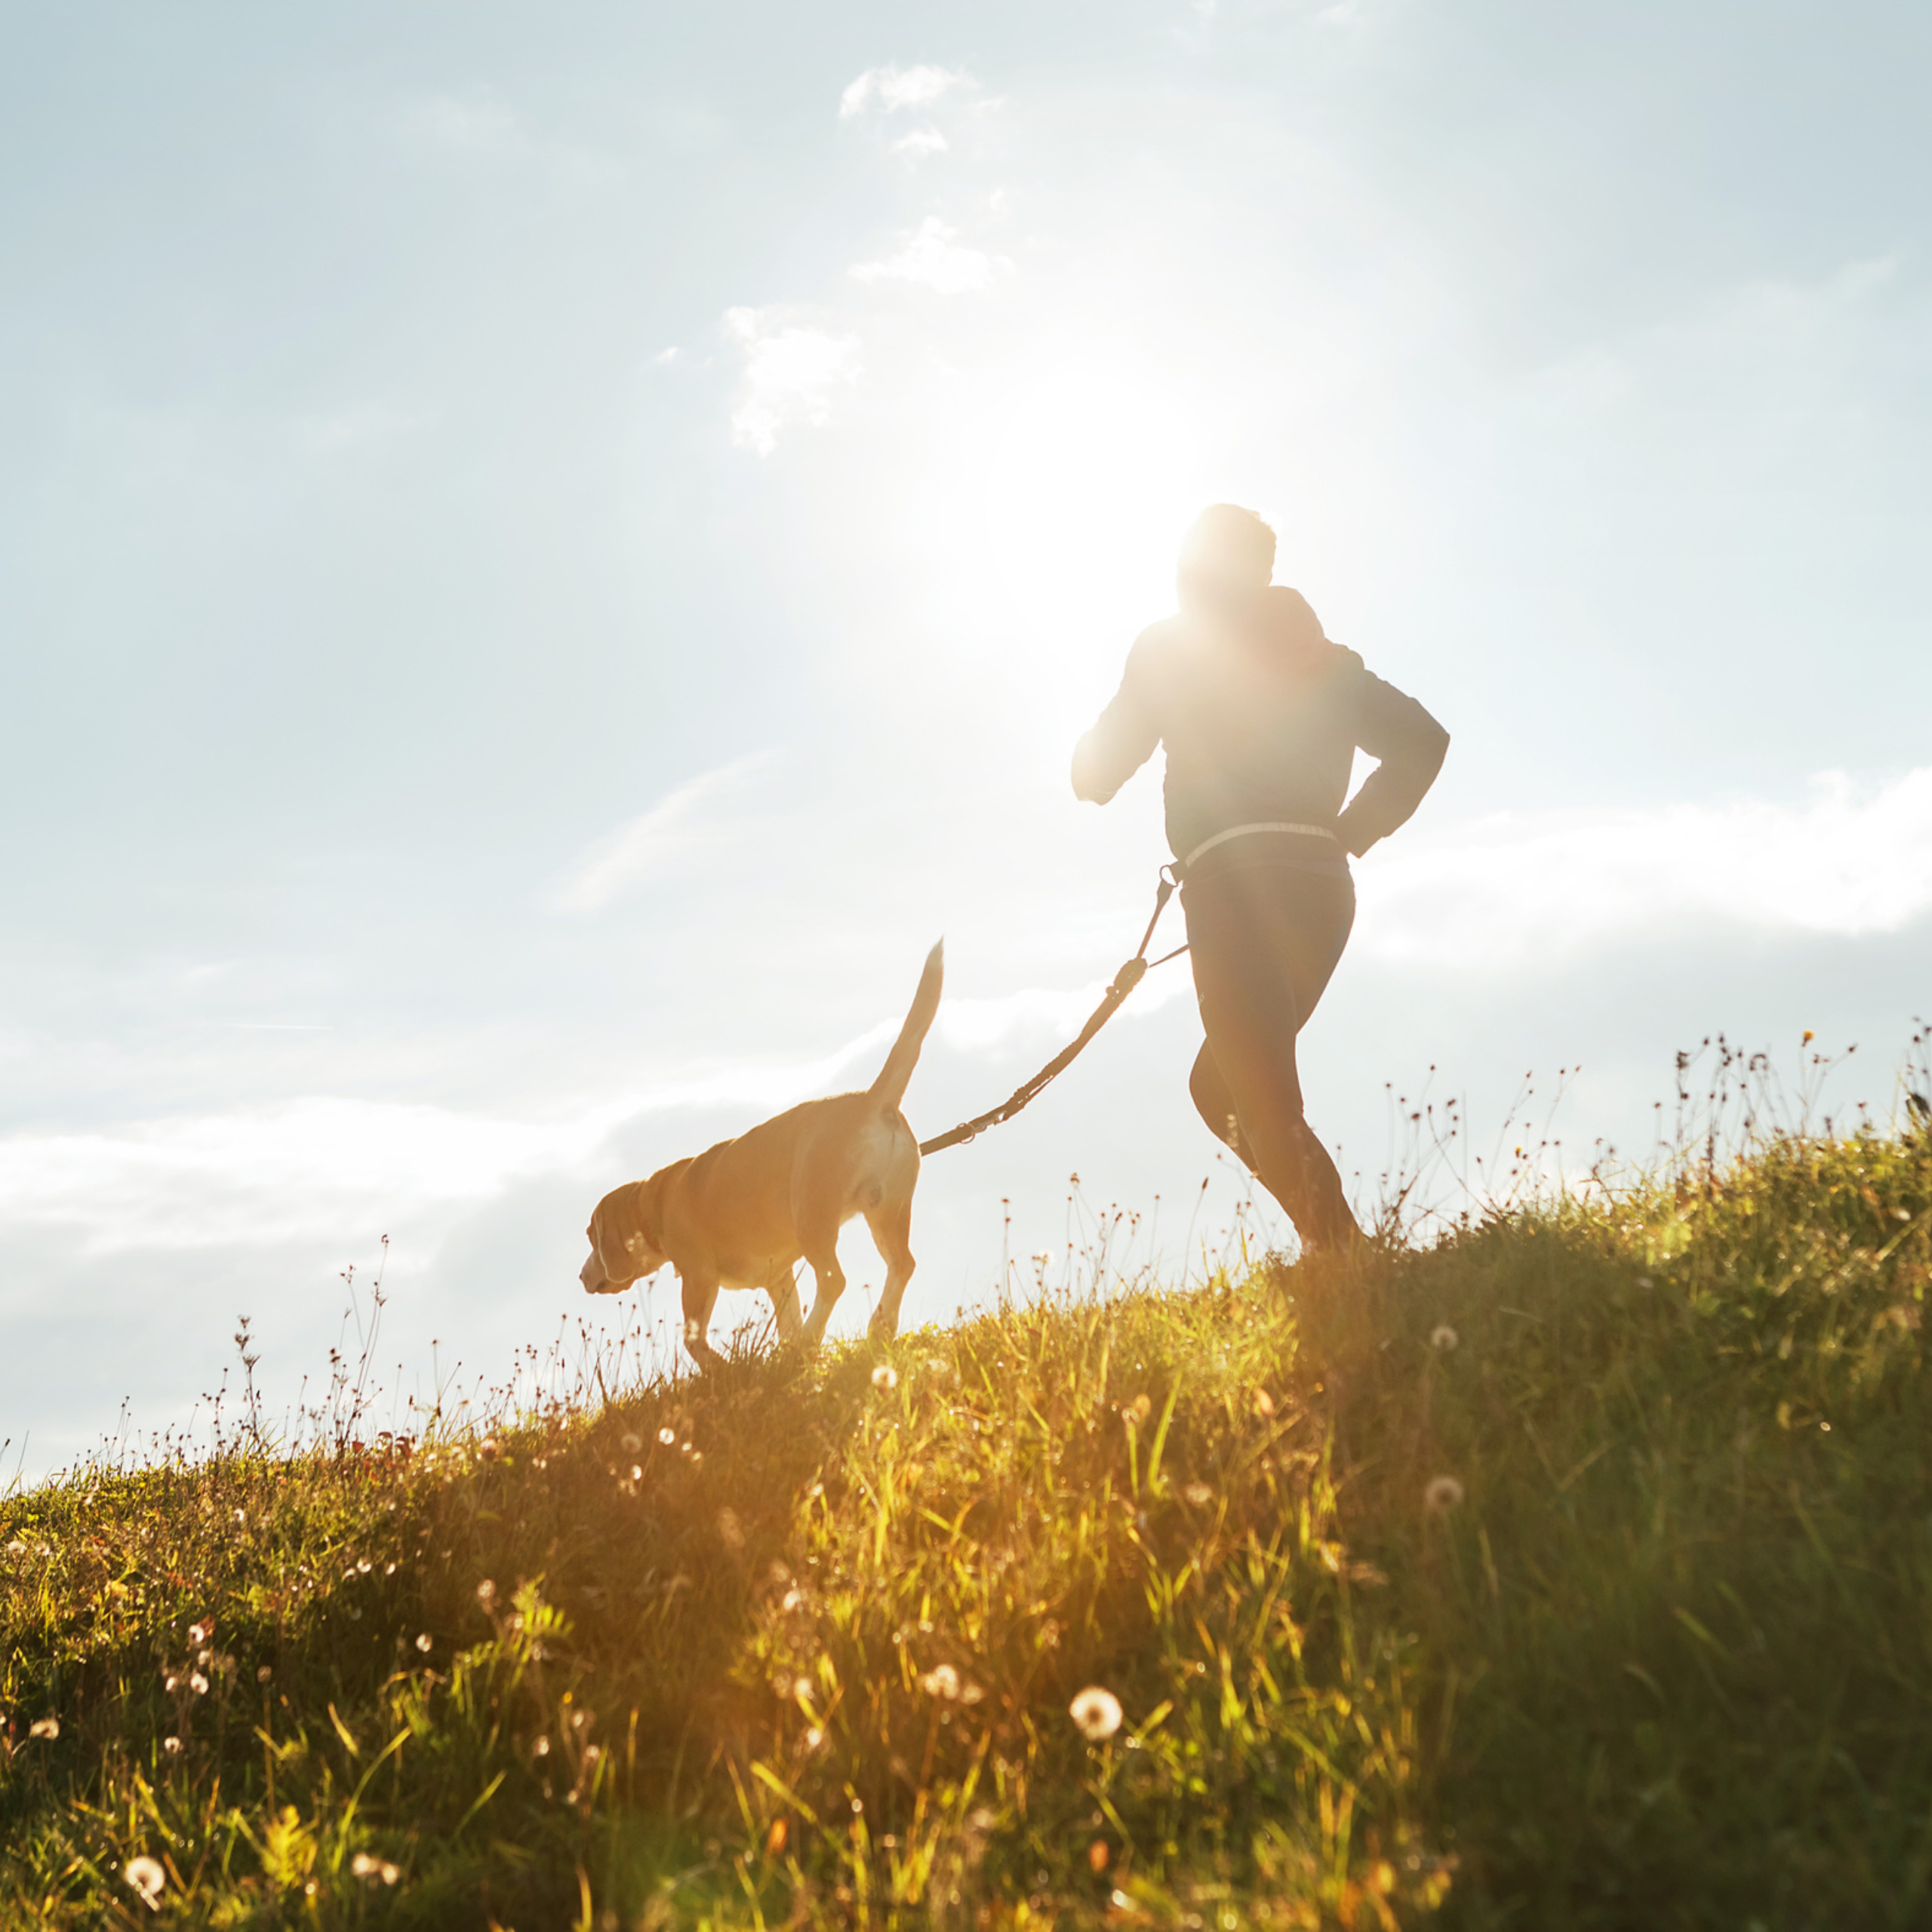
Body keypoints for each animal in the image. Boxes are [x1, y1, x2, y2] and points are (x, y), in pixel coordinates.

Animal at [580, 939, 943, 1367]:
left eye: (591, 1237)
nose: (582, 1276)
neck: (653, 1204)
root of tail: (872, 1100)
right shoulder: (779, 1279)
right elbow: (785, 1321)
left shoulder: (698, 1277)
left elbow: (692, 1339)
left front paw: (722, 1368)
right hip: (888, 1211)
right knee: (902, 1265)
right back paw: (877, 1328)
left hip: (813, 1218)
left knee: (834, 1280)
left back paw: (814, 1336)